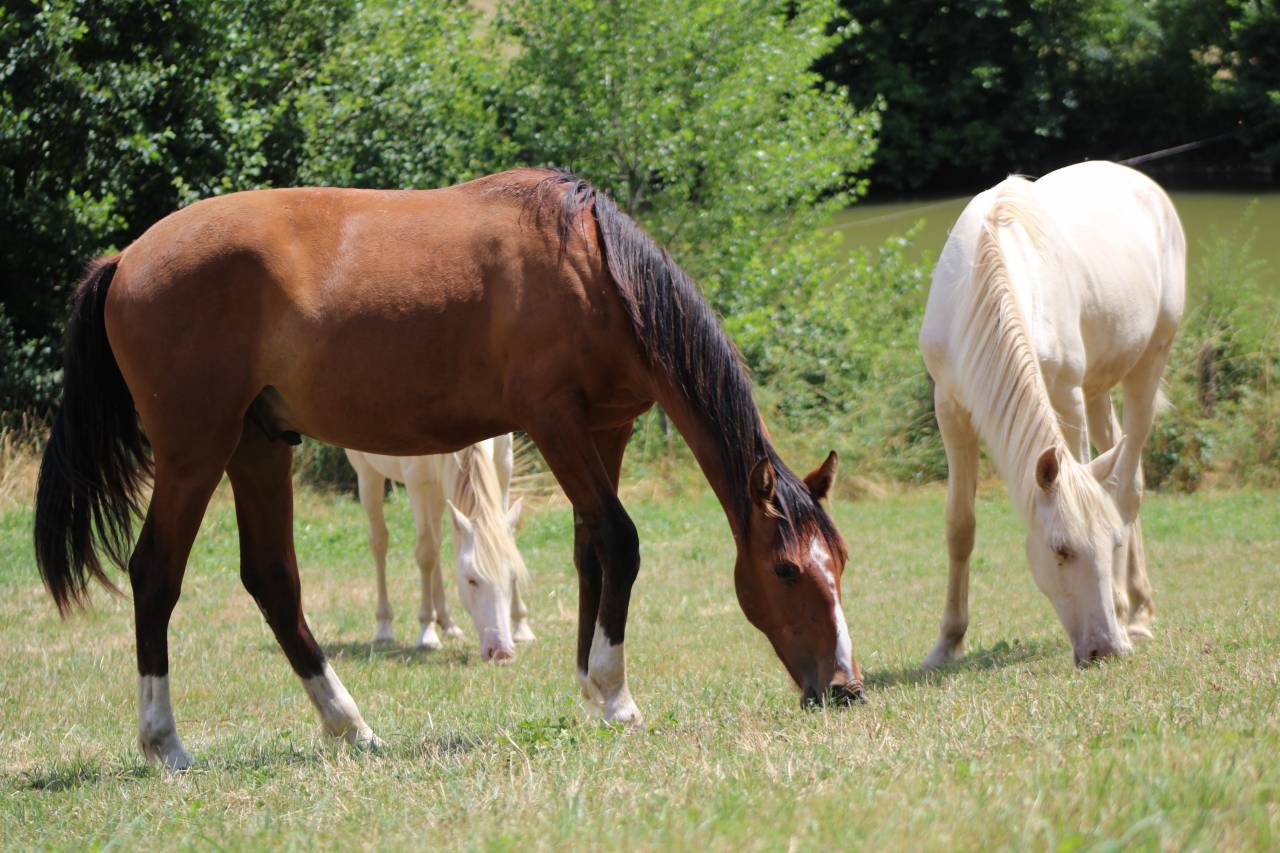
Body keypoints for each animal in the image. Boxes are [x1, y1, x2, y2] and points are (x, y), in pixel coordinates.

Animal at [346, 436, 534, 661]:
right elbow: (426, 553)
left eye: (513, 577)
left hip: (438, 488)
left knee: (436, 538)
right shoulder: (416, 482)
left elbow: (508, 540)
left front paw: (522, 628)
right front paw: (427, 633)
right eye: (471, 580)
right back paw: (384, 628)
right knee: (380, 542)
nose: (501, 652)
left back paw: (448, 623)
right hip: (368, 474)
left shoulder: (504, 464)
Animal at [919, 160, 1185, 668]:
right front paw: (945, 644)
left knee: (1127, 489)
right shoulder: (951, 408)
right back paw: (1138, 605)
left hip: (1148, 364)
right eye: (1060, 551)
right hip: (1100, 389)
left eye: (1109, 544)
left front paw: (1118, 609)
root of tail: (1144, 185)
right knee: (1121, 466)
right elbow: (960, 525)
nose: (1105, 650)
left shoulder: (1066, 398)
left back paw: (1134, 616)